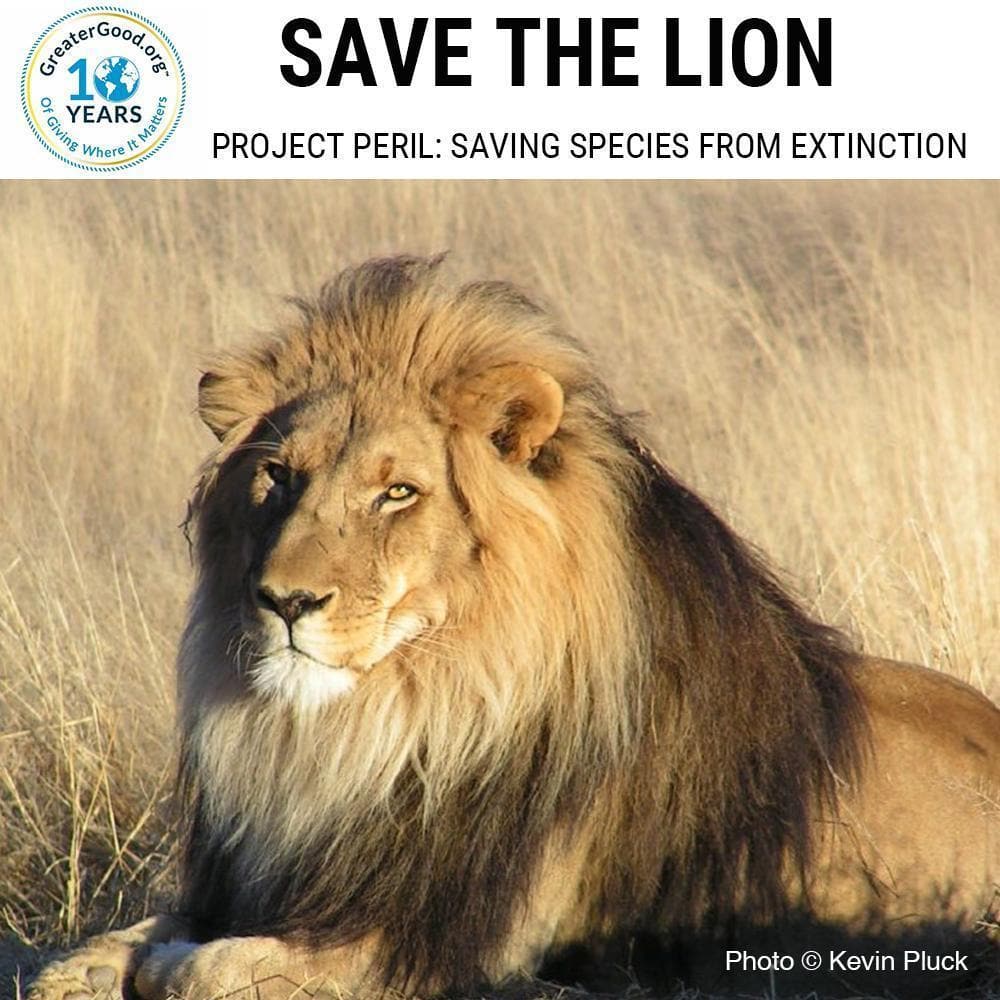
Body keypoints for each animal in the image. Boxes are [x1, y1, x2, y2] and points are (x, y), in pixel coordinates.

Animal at [30, 256, 999, 1000]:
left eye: (398, 492)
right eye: (279, 476)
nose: (286, 602)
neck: (379, 726)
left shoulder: (442, 938)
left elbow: (202, 969)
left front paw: (165, 965)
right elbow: (96, 948)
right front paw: (100, 964)